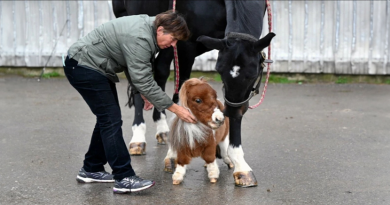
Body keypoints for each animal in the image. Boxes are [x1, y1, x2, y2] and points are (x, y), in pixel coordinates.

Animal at [113, 0, 274, 187]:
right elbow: (181, 92)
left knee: (160, 71)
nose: (228, 113)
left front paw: (239, 165)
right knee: (138, 76)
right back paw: (138, 137)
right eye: (219, 70)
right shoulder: (185, 45)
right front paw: (174, 154)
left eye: (252, 74)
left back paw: (163, 128)